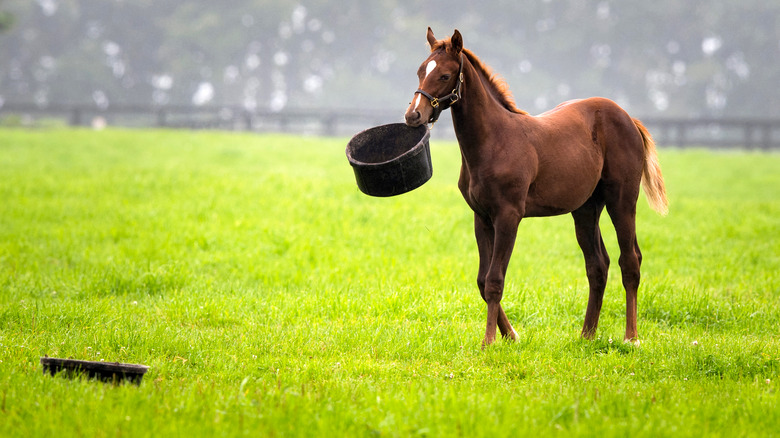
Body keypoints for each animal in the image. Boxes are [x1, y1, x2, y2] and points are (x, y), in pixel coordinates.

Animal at [406, 29, 668, 348]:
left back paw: (631, 337)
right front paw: (511, 335)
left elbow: (495, 280)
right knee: (598, 265)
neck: (493, 141)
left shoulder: (508, 216)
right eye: (421, 71)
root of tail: (628, 118)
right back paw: (587, 335)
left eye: (444, 75)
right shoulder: (482, 218)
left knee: (629, 261)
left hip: (622, 200)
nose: (413, 115)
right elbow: (482, 280)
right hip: (586, 209)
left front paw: (489, 341)